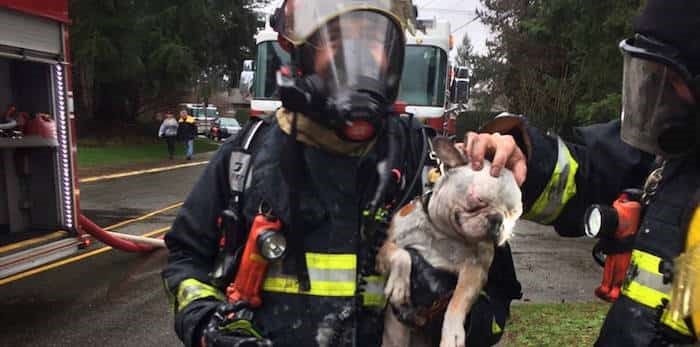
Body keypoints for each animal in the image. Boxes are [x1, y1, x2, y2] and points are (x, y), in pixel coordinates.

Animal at [378, 136, 520, 347]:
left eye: (514, 214)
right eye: (478, 200)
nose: (499, 220)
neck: (444, 232)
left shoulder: (474, 271)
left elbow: (458, 300)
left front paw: (452, 333)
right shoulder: (384, 248)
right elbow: (402, 255)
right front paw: (398, 284)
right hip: (395, 335)